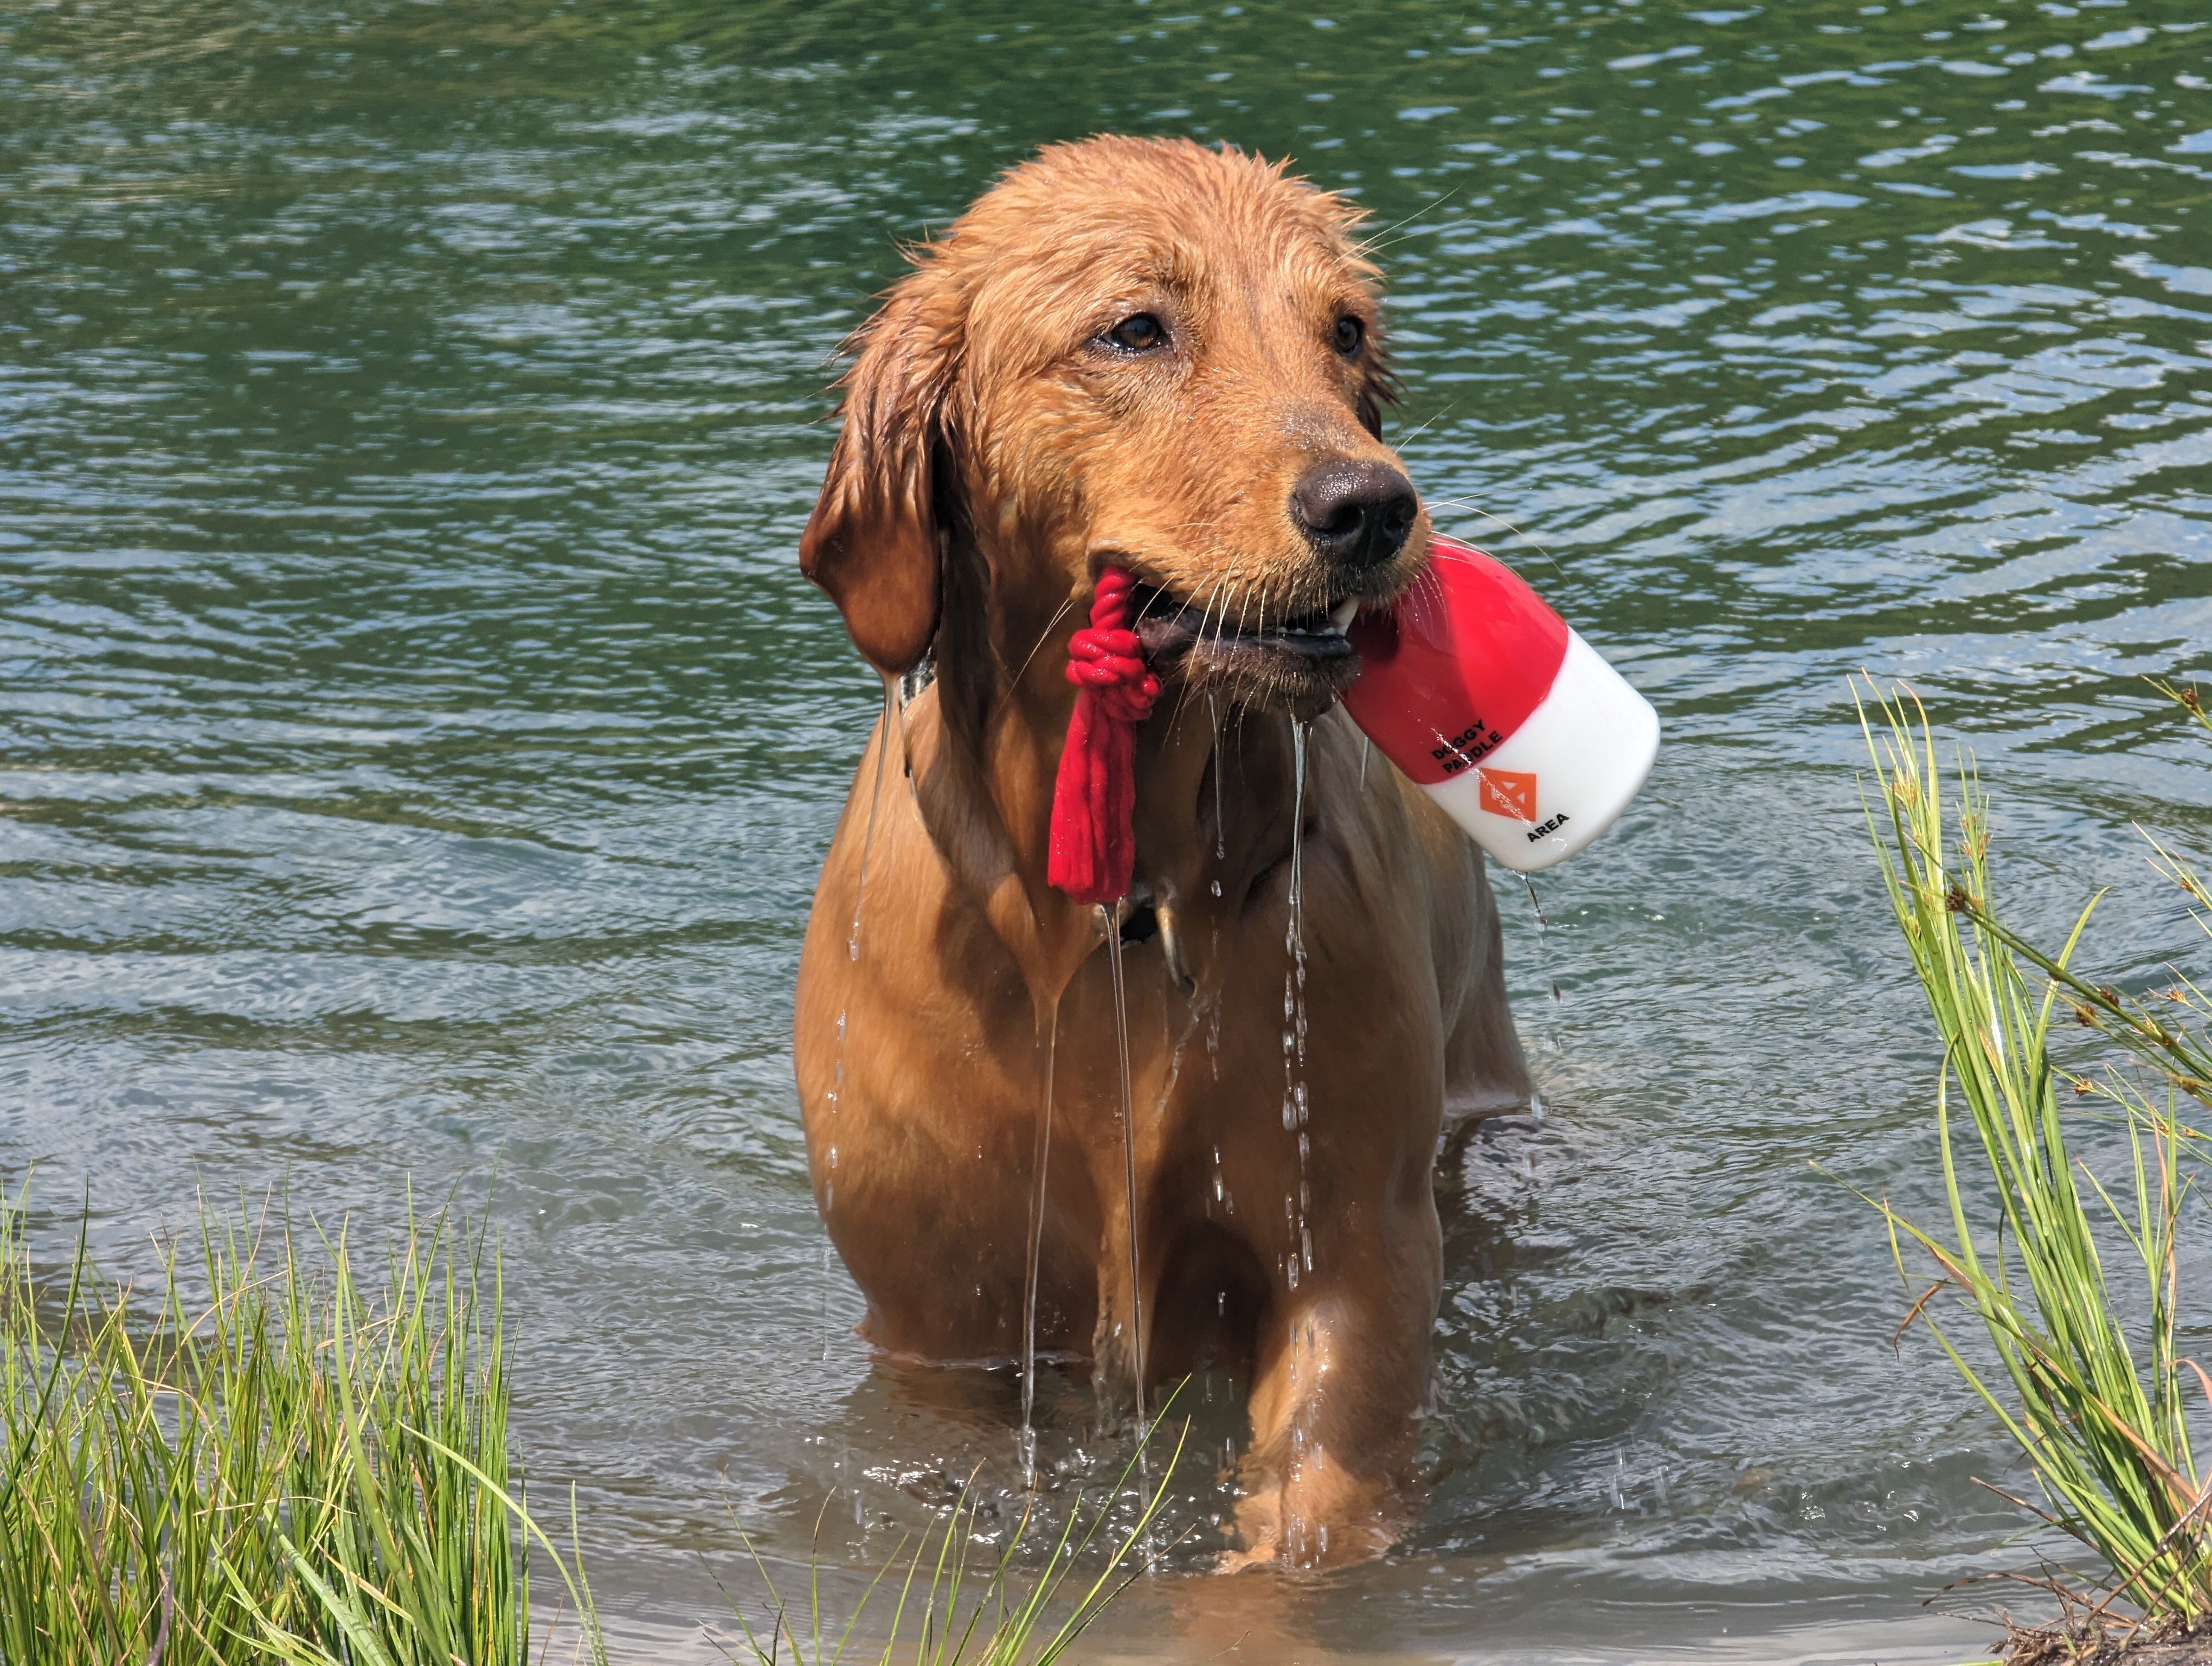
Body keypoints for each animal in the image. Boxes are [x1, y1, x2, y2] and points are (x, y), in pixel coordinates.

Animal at [787, 136, 1531, 1566]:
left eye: (1343, 332)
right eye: (1134, 330)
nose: (1371, 506)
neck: (1115, 906)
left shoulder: (1351, 1249)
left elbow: (1298, 1522)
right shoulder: (939, 1317)